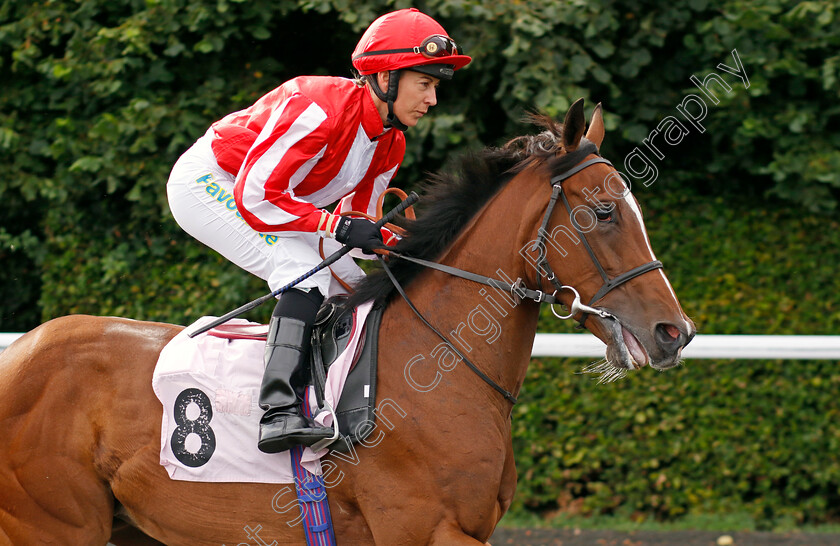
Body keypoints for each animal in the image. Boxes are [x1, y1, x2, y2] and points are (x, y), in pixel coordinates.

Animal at [1, 99, 696, 544]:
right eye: (604, 212)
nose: (675, 332)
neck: (436, 372)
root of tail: (19, 352)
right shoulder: (423, 529)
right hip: (53, 526)